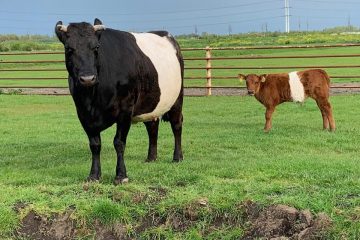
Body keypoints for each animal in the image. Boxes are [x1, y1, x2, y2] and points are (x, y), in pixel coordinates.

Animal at [55, 17, 186, 185]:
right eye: (69, 49)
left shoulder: (125, 110)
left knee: (176, 124)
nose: (87, 78)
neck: (94, 100)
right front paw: (94, 175)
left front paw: (121, 175)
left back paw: (177, 157)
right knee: (152, 126)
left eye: (96, 47)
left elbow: (119, 142)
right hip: (150, 102)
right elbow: (95, 144)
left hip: (177, 97)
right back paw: (151, 157)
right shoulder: (83, 114)